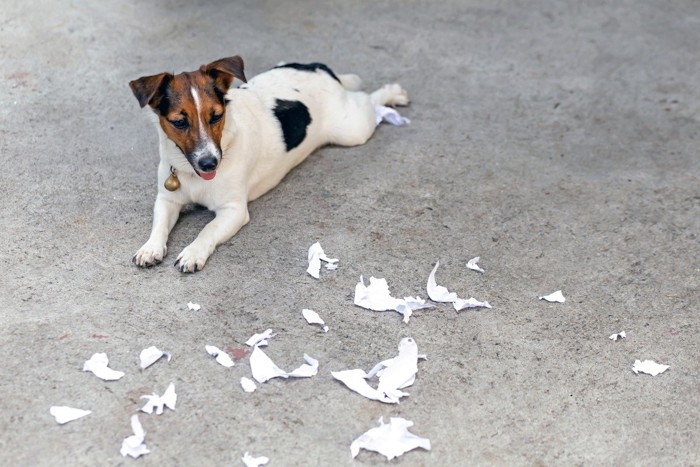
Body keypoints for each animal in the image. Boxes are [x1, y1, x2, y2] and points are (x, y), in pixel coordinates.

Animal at [129, 56, 408, 272]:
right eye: (179, 122)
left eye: (217, 116)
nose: (209, 163)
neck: (191, 173)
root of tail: (317, 68)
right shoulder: (167, 200)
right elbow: (159, 226)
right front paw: (150, 248)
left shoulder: (234, 210)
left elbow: (207, 229)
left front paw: (193, 252)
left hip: (353, 129)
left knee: (368, 100)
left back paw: (392, 93)